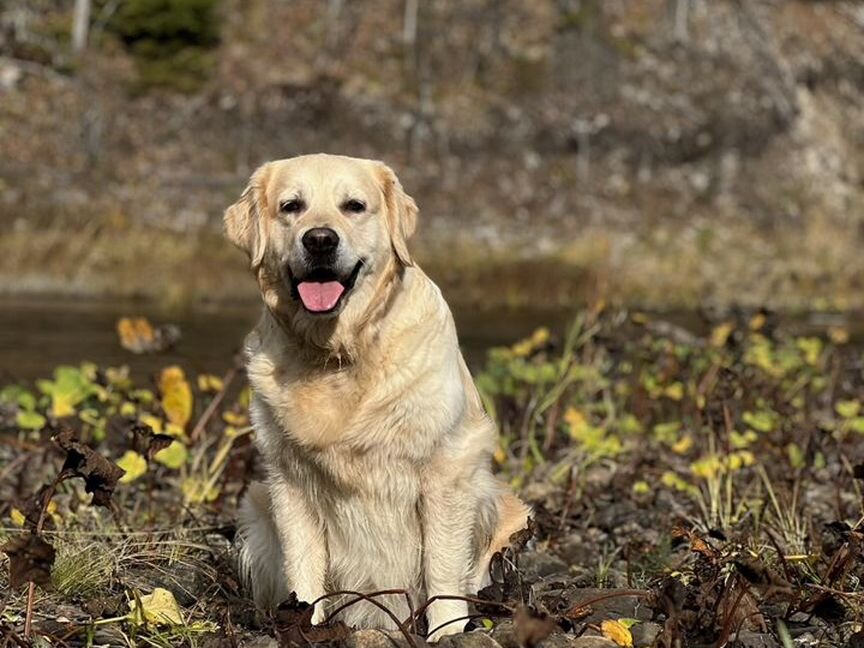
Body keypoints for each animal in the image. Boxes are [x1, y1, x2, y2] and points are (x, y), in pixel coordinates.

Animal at [226, 154, 528, 640]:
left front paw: (445, 634)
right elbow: (303, 567)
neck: (339, 354)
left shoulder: (446, 470)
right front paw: (306, 626)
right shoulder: (288, 478)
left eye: (354, 205)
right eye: (292, 206)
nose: (320, 240)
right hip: (256, 508)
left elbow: (441, 569)